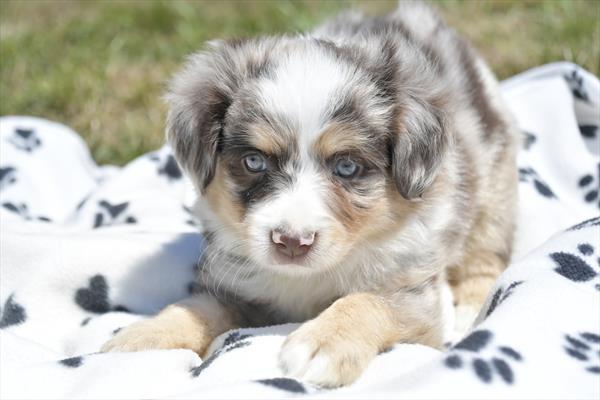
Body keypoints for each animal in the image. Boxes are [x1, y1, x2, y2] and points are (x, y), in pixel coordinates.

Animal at [101, 0, 516, 388]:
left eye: (346, 167)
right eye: (254, 161)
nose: (291, 242)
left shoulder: (415, 296)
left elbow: (368, 299)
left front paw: (323, 343)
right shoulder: (236, 286)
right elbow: (196, 308)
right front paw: (141, 339)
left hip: (493, 190)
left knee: (485, 256)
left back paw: (470, 312)